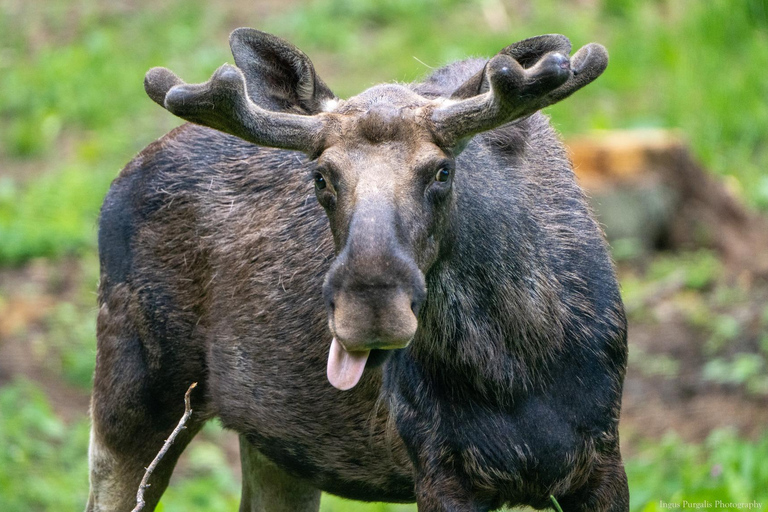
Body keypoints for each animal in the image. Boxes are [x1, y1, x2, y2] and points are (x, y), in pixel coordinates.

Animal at [87, 28, 628, 512]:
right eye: (321, 176)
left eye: (442, 170)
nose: (371, 309)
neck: (515, 366)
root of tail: (119, 181)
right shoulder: (438, 470)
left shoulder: (603, 463)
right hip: (131, 398)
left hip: (276, 445)